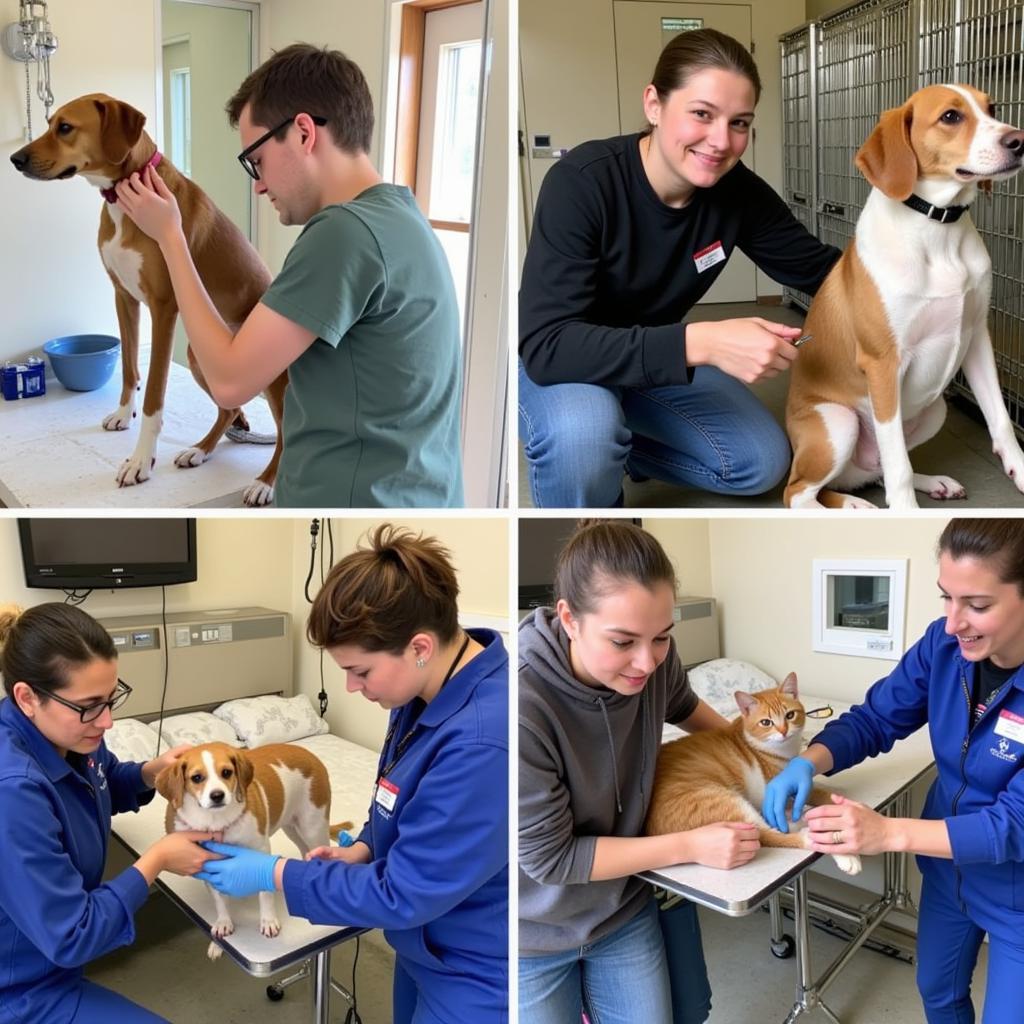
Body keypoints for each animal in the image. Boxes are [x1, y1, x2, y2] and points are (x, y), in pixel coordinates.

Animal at [9, 94, 286, 505]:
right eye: (47, 123)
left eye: (65, 127)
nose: (15, 159)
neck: (125, 193)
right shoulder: (124, 297)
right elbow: (129, 368)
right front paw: (123, 415)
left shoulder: (164, 308)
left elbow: (155, 391)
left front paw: (140, 461)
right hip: (200, 358)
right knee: (230, 408)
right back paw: (199, 450)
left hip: (276, 380)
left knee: (286, 432)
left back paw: (265, 482)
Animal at [154, 741, 327, 954]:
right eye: (196, 778)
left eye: (226, 772)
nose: (217, 795)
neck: (216, 821)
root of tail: (307, 753)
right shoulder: (206, 863)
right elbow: (219, 899)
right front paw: (223, 924)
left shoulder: (261, 852)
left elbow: (264, 892)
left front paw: (268, 920)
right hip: (292, 827)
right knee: (305, 853)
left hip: (313, 829)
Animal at [643, 671, 860, 872]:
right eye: (766, 722)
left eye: (790, 715)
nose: (783, 731)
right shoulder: (777, 793)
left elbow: (820, 792)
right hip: (724, 801)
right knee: (770, 834)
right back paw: (833, 846)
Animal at [782, 82, 1024, 507]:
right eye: (950, 116)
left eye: (992, 108)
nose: (1019, 140)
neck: (938, 229)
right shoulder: (883, 364)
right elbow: (899, 469)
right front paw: (905, 509)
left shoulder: (977, 339)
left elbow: (1001, 421)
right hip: (839, 424)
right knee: (800, 493)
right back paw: (855, 505)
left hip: (936, 408)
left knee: (874, 471)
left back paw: (931, 483)